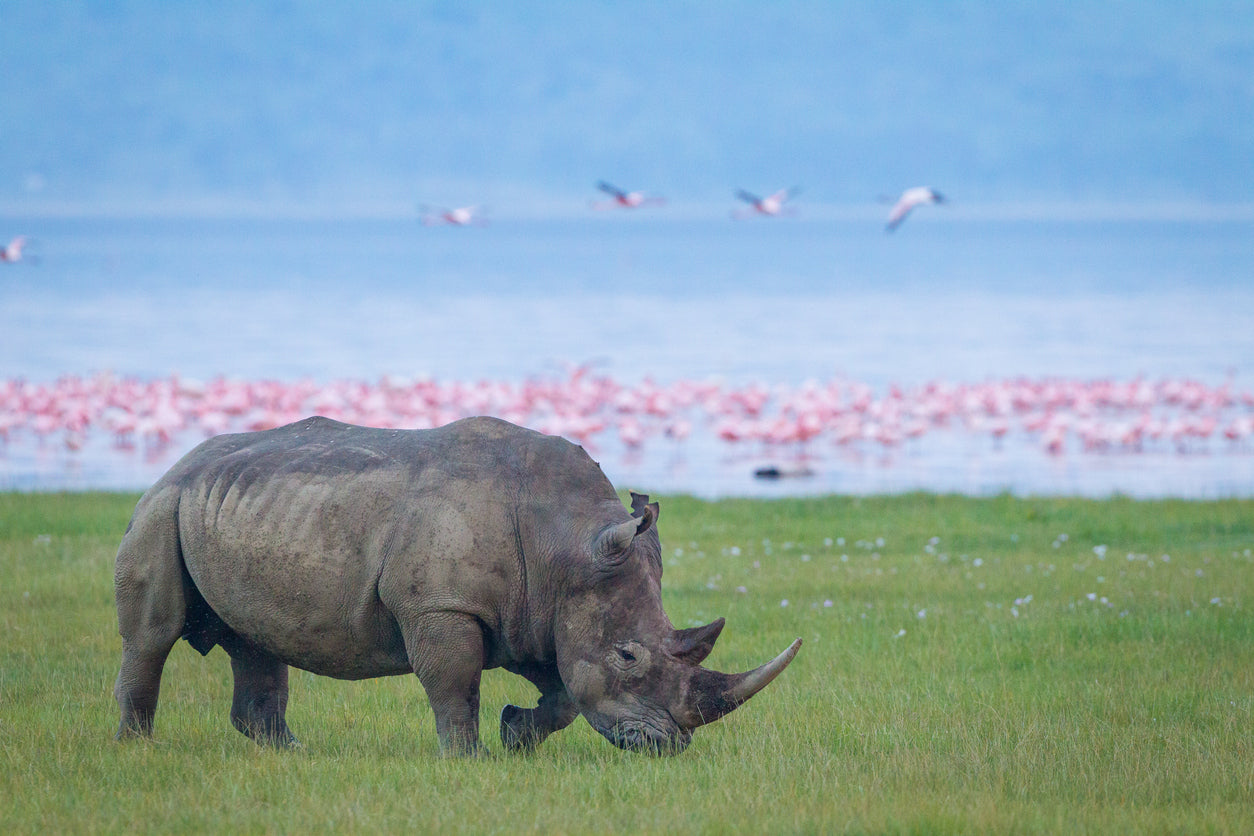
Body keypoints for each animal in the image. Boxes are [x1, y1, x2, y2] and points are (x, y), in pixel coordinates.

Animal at [113, 416, 801, 755]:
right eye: (628, 657)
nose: (670, 746)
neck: (565, 543)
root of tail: (178, 464)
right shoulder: (442, 605)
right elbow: (454, 682)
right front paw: (467, 758)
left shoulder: (537, 611)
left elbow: (564, 692)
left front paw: (516, 734)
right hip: (162, 507)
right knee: (152, 634)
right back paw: (138, 748)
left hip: (235, 508)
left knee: (257, 640)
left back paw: (291, 753)